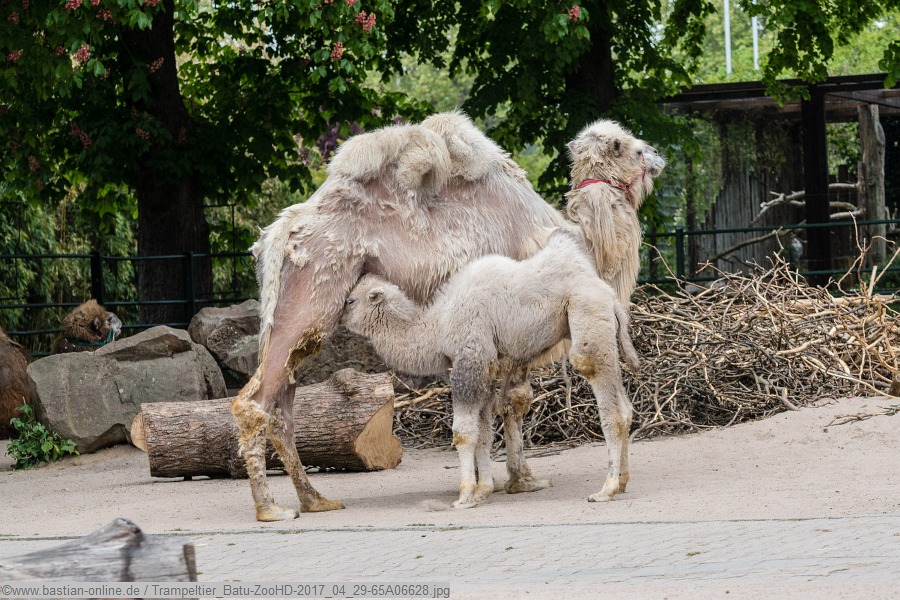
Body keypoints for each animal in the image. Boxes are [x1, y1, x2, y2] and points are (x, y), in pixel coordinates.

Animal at [342, 231, 640, 508]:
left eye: (351, 301)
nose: (339, 317)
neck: (439, 325)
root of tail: (611, 297)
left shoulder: (470, 359)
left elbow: (464, 432)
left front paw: (465, 496)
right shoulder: (485, 368)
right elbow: (484, 430)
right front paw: (483, 489)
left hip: (586, 312)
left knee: (601, 389)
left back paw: (606, 489)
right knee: (625, 408)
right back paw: (622, 482)